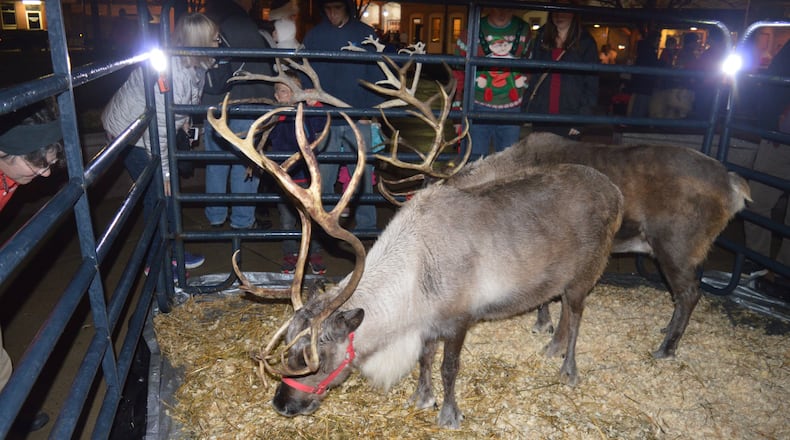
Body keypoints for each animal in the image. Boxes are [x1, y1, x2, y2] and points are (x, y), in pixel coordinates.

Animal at [206, 52, 625, 428]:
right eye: (287, 345)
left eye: (316, 359)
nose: (282, 403)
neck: (415, 281)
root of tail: (613, 191)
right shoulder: (425, 325)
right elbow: (425, 360)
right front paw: (422, 397)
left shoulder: (458, 318)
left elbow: (449, 367)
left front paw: (449, 415)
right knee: (560, 306)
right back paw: (551, 346)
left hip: (587, 273)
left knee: (577, 314)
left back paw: (568, 368)